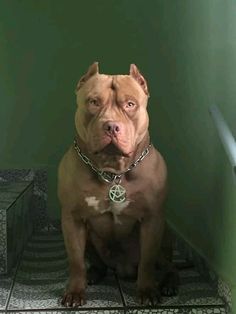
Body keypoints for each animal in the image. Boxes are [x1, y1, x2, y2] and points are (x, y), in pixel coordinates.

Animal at [58, 62, 178, 306]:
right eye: (94, 102)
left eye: (130, 104)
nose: (111, 126)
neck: (113, 173)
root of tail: (122, 269)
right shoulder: (72, 219)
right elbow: (76, 261)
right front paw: (75, 291)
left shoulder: (152, 219)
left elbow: (147, 261)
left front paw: (147, 291)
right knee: (96, 263)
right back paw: (93, 274)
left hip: (165, 236)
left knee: (169, 266)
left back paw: (169, 284)